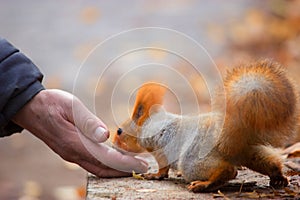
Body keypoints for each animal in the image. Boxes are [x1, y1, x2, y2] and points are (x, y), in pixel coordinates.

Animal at [112, 60, 298, 193]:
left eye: (119, 131)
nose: (113, 144)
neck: (149, 124)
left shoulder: (158, 146)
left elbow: (163, 167)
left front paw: (154, 175)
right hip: (249, 152)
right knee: (269, 162)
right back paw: (279, 178)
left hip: (193, 158)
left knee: (229, 171)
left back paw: (203, 185)